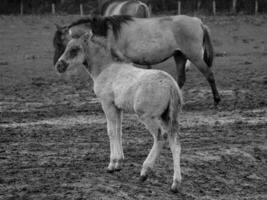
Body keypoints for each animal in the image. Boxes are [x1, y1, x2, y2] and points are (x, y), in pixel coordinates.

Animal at [52, 14, 222, 105]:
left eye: (62, 44)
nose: (58, 65)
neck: (107, 32)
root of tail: (198, 21)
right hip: (180, 56)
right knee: (180, 79)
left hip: (194, 56)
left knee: (209, 75)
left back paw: (216, 100)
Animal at [54, 32, 184, 192]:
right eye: (66, 47)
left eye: (74, 49)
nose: (59, 66)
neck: (106, 68)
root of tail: (171, 84)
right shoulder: (117, 107)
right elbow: (119, 130)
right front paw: (119, 163)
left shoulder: (107, 103)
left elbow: (111, 131)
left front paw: (112, 164)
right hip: (168, 116)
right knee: (175, 143)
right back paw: (175, 183)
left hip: (148, 116)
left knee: (160, 137)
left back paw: (145, 171)